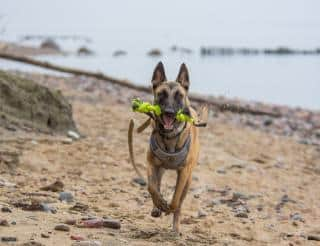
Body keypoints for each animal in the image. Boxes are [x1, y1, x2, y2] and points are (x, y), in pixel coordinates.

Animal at [128, 61, 205, 233]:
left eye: (179, 95)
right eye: (161, 94)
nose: (169, 112)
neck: (170, 137)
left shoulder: (183, 172)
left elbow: (176, 198)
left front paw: (169, 207)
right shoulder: (151, 163)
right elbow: (151, 187)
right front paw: (159, 204)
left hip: (189, 179)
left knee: (180, 202)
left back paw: (175, 226)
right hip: (160, 169)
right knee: (157, 183)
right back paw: (157, 207)